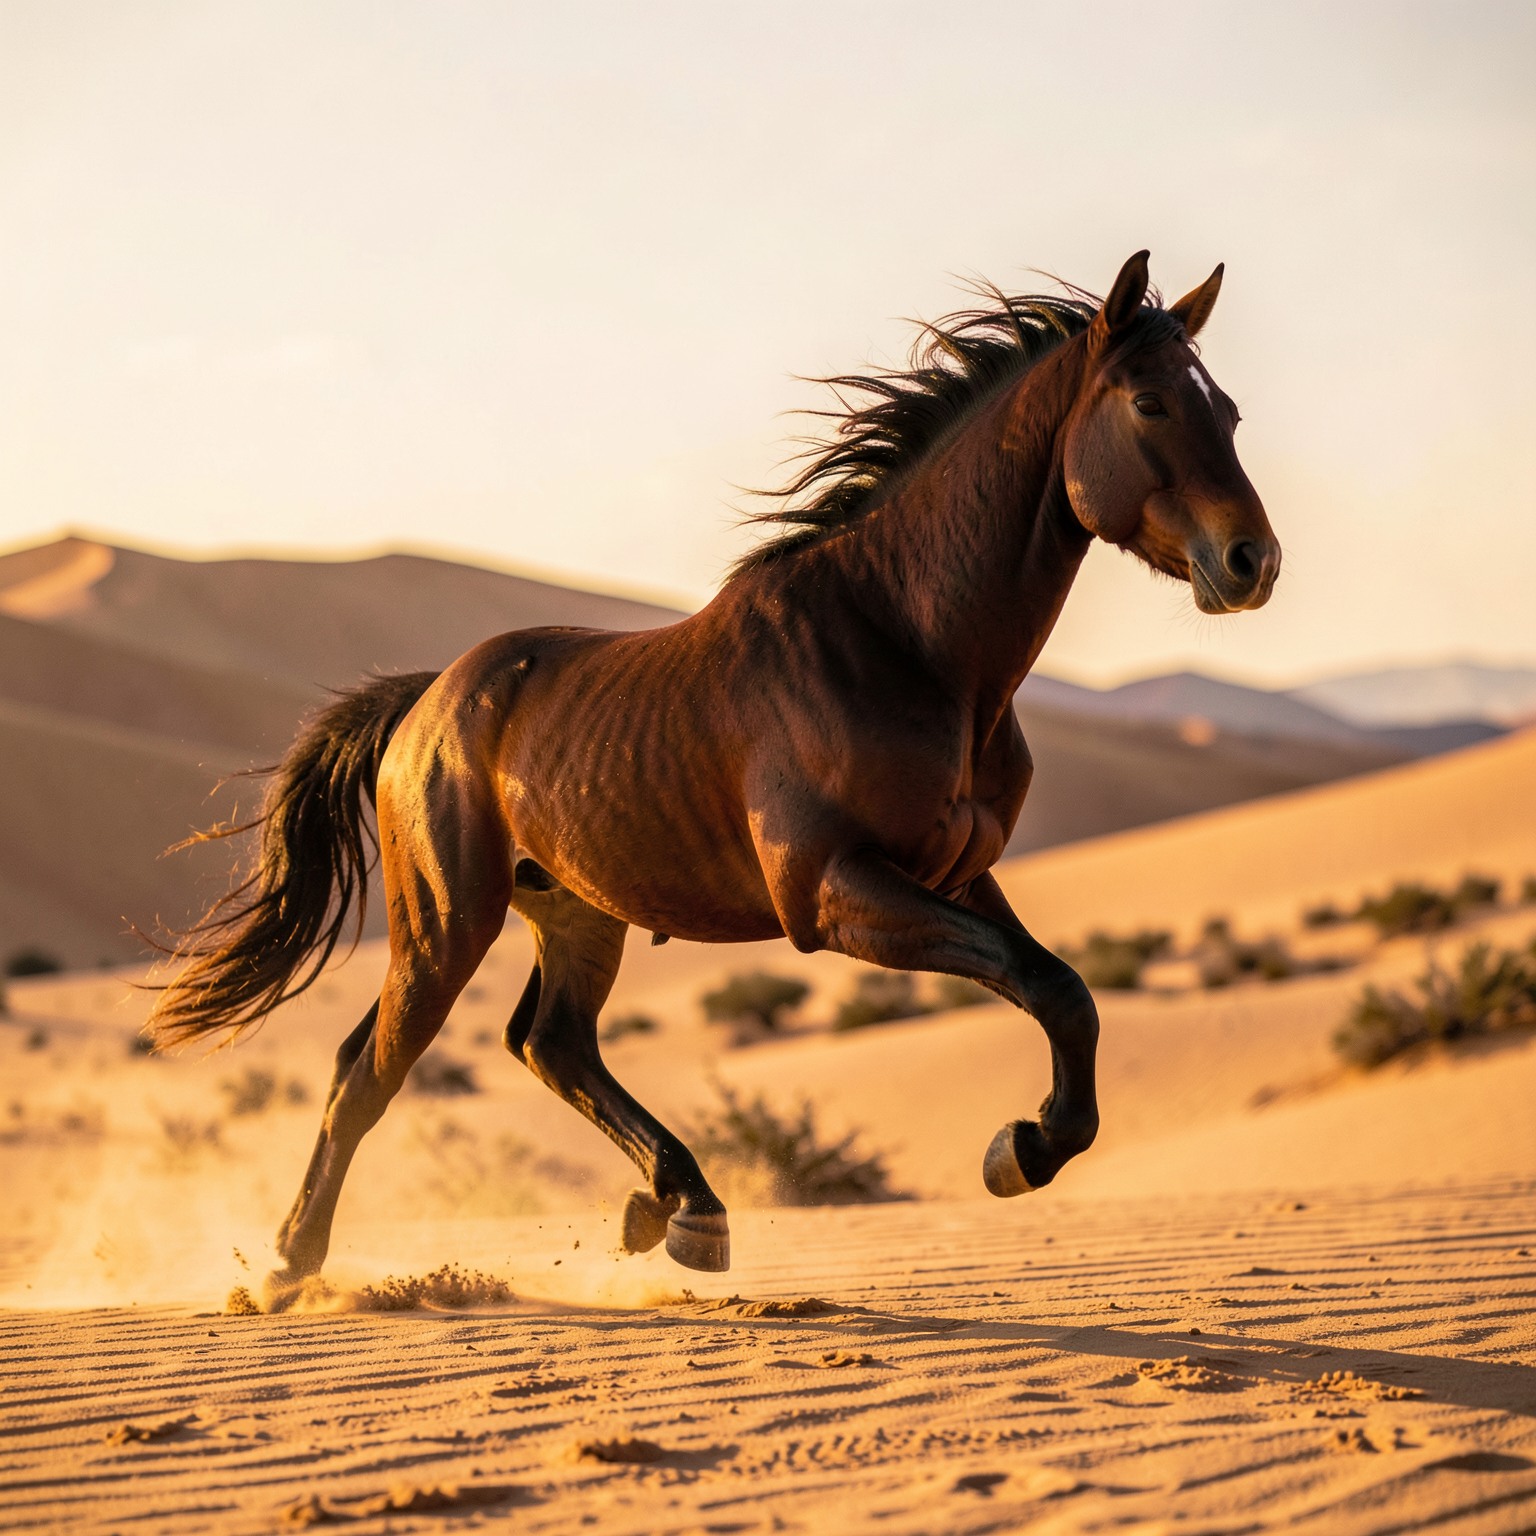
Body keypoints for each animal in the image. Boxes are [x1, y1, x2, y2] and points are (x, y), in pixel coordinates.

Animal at [148, 251, 1279, 1304]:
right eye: (1149, 402)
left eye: (1225, 409)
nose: (1252, 562)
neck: (906, 644)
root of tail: (428, 703)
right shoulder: (832, 895)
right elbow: (1044, 982)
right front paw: (1023, 1147)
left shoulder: (954, 876)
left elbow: (1064, 992)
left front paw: (1031, 1147)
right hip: (446, 922)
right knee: (368, 1071)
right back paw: (288, 1267)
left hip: (578, 912)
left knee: (549, 1045)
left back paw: (684, 1206)